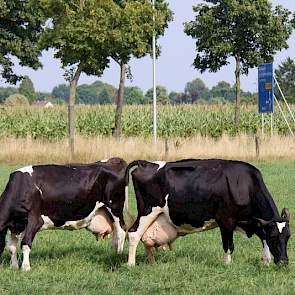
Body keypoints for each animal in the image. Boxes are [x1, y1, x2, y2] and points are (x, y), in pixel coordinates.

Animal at [0, 158, 128, 272]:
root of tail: (114, 160)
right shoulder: (16, 225)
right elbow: (11, 246)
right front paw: (13, 267)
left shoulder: (35, 220)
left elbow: (25, 244)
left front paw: (25, 268)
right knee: (116, 234)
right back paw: (113, 252)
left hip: (115, 206)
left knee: (121, 231)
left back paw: (117, 255)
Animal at [125, 161, 292, 268]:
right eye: (274, 236)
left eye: (288, 237)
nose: (284, 261)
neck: (244, 185)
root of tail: (147, 163)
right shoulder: (226, 220)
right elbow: (229, 245)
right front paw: (227, 265)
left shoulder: (252, 221)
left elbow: (262, 237)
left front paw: (266, 261)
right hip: (147, 211)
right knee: (134, 234)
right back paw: (131, 264)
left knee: (145, 239)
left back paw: (152, 263)